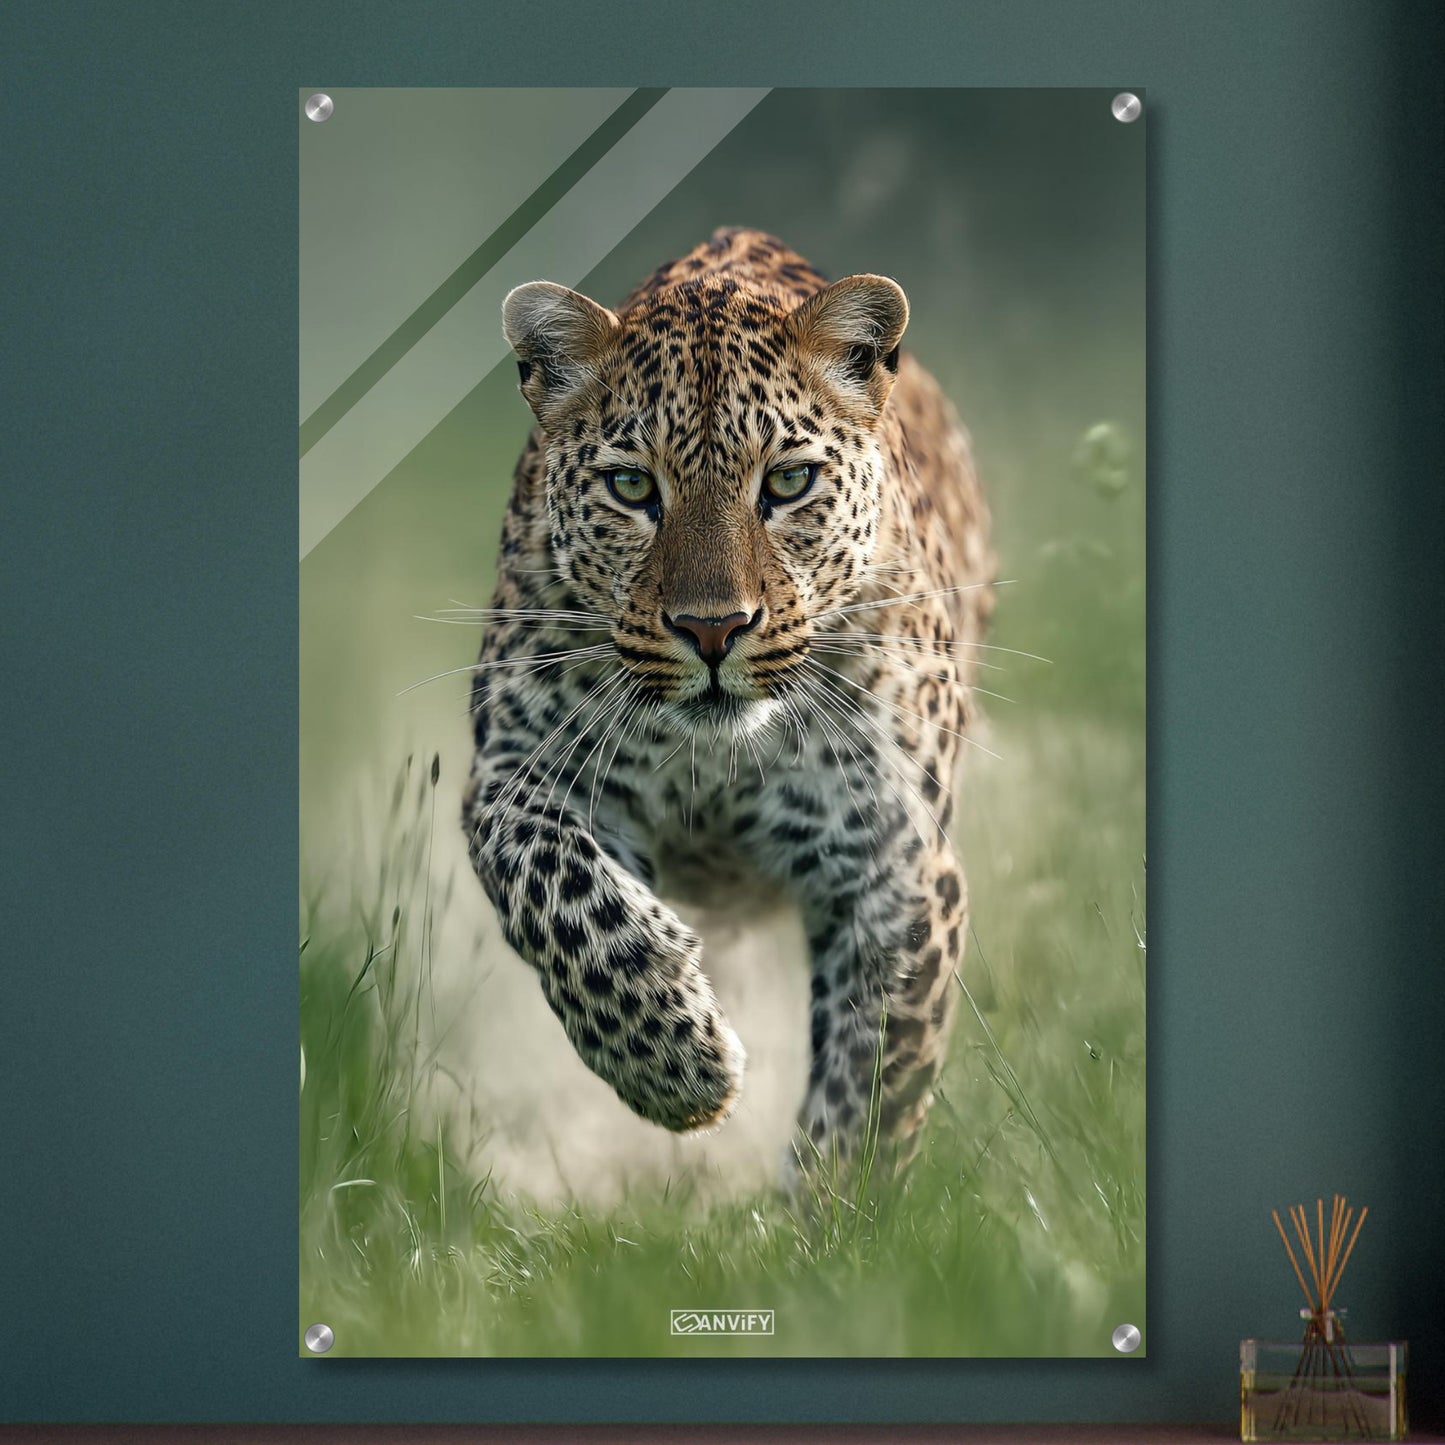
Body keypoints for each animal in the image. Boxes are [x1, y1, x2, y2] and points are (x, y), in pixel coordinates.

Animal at [461, 227, 994, 1176]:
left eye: (786, 482)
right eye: (632, 488)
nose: (712, 630)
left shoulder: (893, 862)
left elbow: (871, 1079)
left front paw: (829, 1209)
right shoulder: (512, 775)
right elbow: (563, 897)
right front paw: (681, 1067)